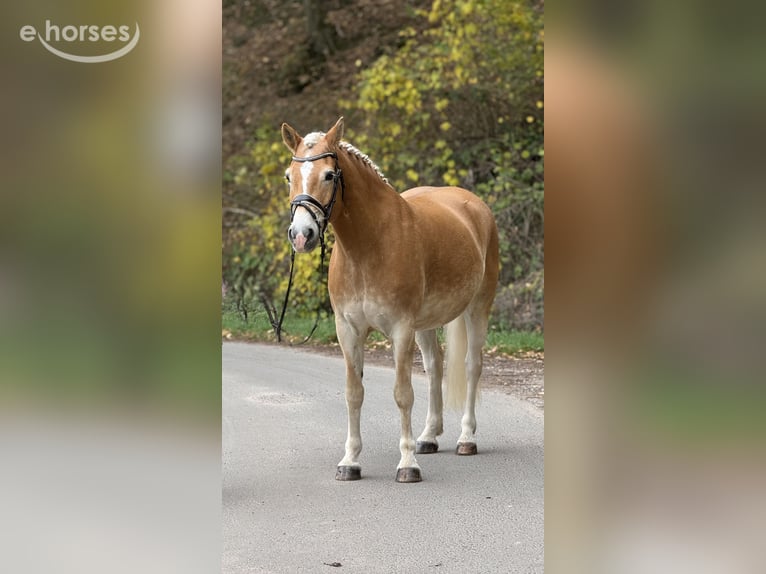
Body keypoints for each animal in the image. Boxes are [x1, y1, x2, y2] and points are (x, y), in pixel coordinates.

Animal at [281, 117, 499, 482]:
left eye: (329, 175)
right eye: (288, 176)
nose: (301, 235)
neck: (370, 245)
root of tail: (473, 204)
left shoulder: (401, 329)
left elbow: (402, 394)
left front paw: (407, 464)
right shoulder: (348, 330)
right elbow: (354, 394)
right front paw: (350, 462)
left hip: (477, 308)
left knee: (472, 366)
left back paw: (466, 438)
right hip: (426, 324)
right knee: (435, 367)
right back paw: (428, 437)